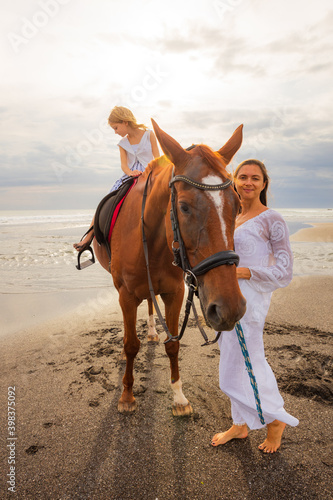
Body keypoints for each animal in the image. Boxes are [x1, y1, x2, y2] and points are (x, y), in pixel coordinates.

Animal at [92, 120, 244, 414]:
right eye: (183, 207)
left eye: (238, 205)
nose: (229, 308)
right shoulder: (126, 295)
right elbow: (131, 344)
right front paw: (127, 395)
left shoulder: (175, 293)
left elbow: (173, 345)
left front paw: (178, 397)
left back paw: (152, 332)